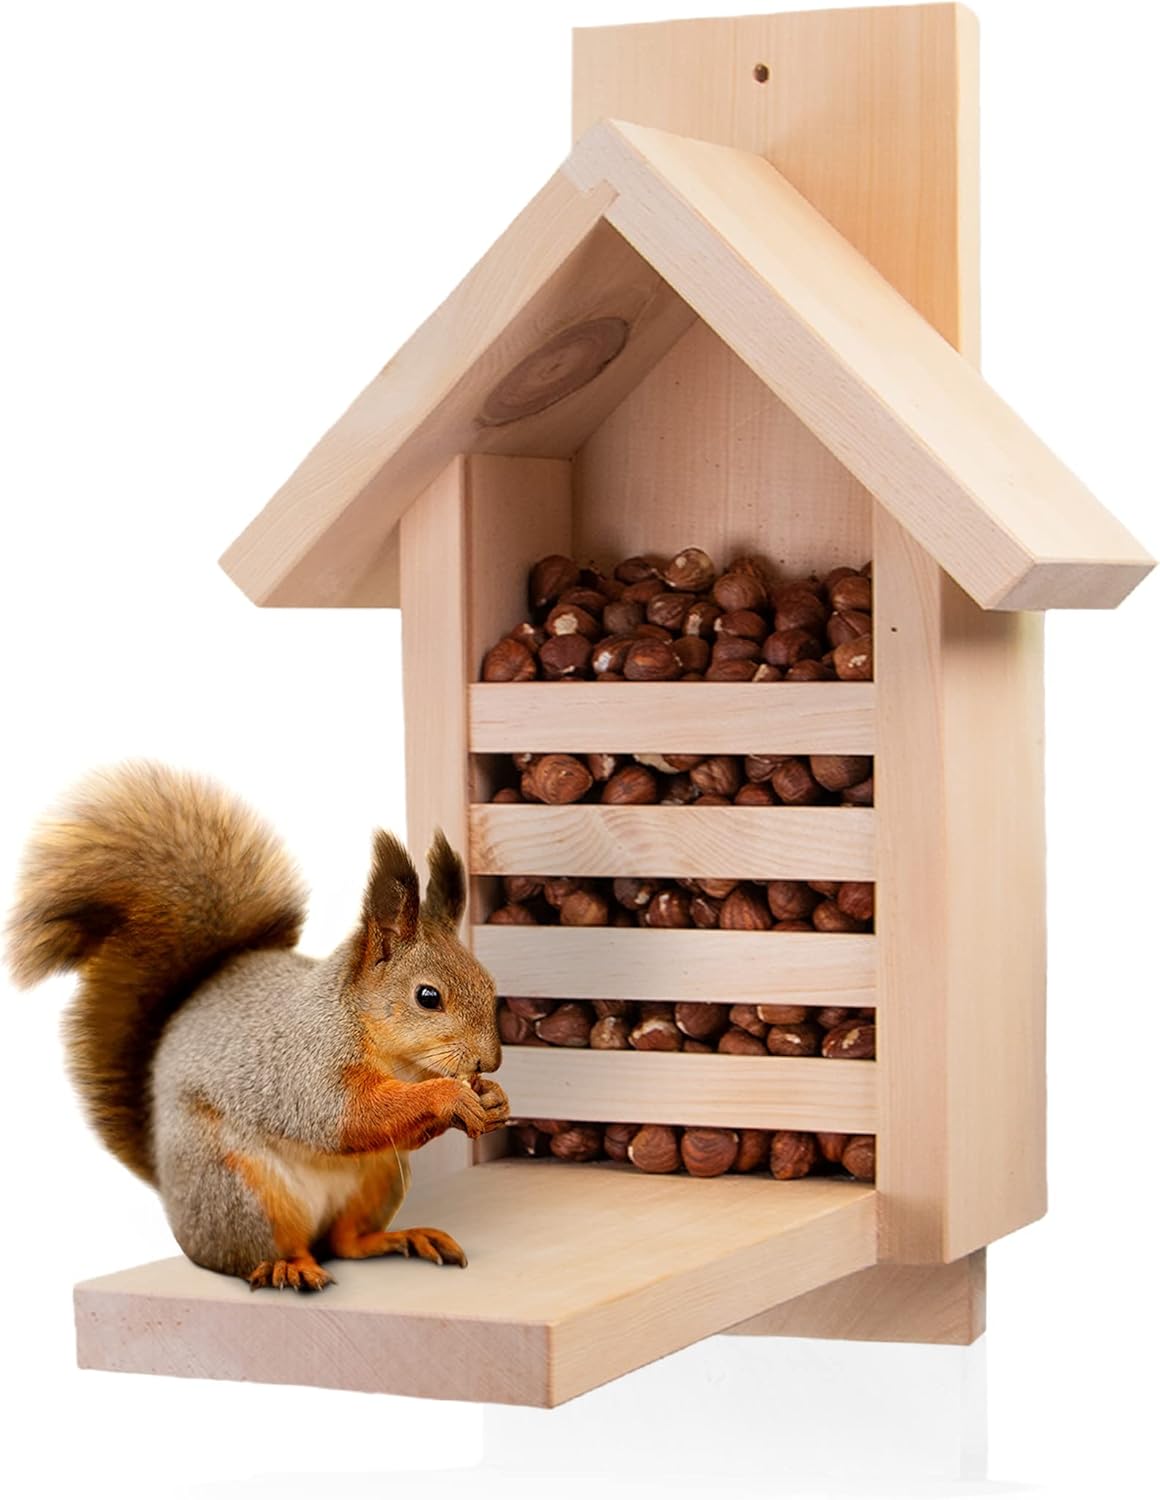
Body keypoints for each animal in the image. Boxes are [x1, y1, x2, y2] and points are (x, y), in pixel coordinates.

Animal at [6, 761, 509, 1292]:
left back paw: (401, 1238)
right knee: (262, 1253)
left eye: (489, 982)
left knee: (346, 1243)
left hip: (379, 1179)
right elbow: (348, 1116)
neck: (398, 1057)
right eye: (427, 997)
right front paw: (449, 1095)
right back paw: (288, 1268)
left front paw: (495, 1099)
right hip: (240, 1191)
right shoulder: (309, 1067)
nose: (490, 1060)